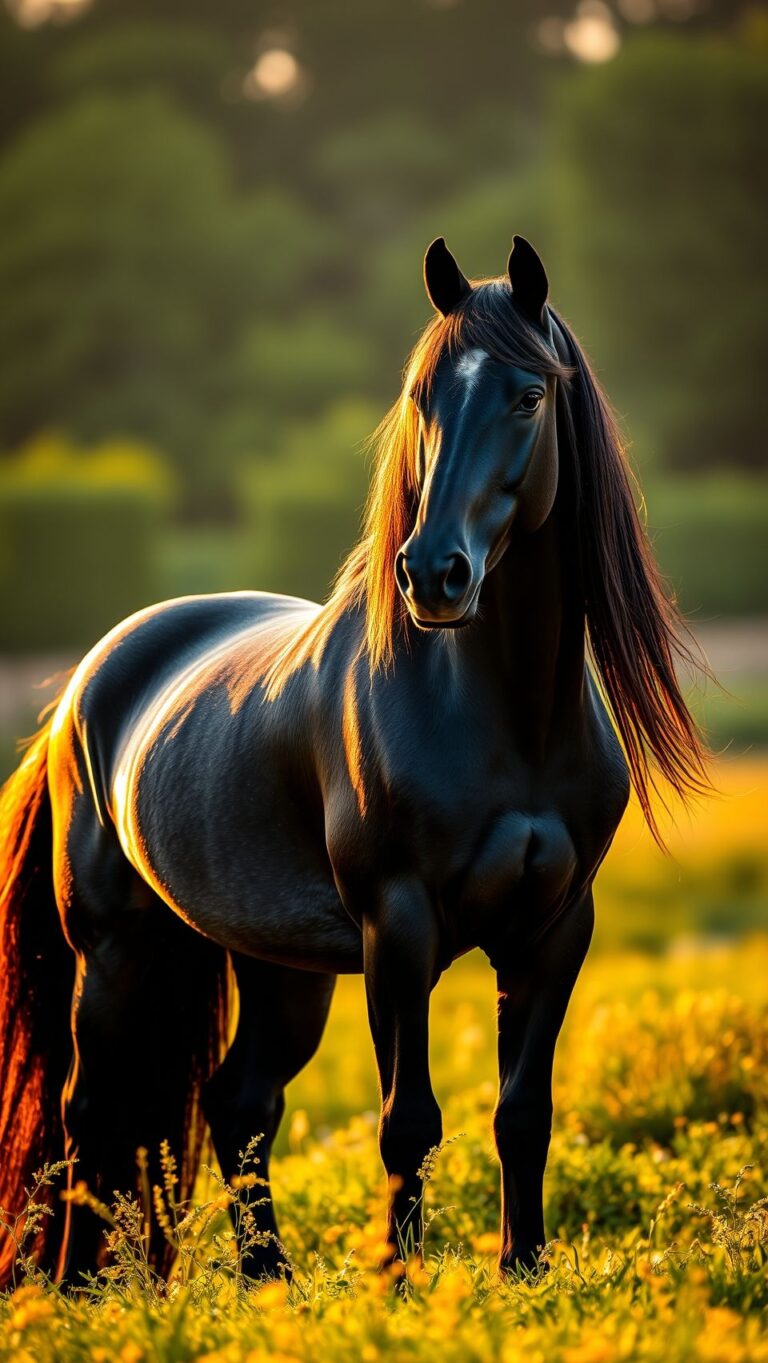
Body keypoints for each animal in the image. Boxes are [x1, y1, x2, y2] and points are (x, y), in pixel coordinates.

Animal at [0, 235, 709, 1286]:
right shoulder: (398, 926)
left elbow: (522, 1111)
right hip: (114, 948)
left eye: (529, 395)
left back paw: (268, 1280)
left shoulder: (554, 929)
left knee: (238, 1102)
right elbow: (407, 1119)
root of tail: (90, 678)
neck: (508, 716)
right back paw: (82, 1287)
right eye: (422, 397)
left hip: (277, 963)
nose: (433, 575)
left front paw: (524, 1272)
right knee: (92, 1112)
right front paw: (398, 1285)